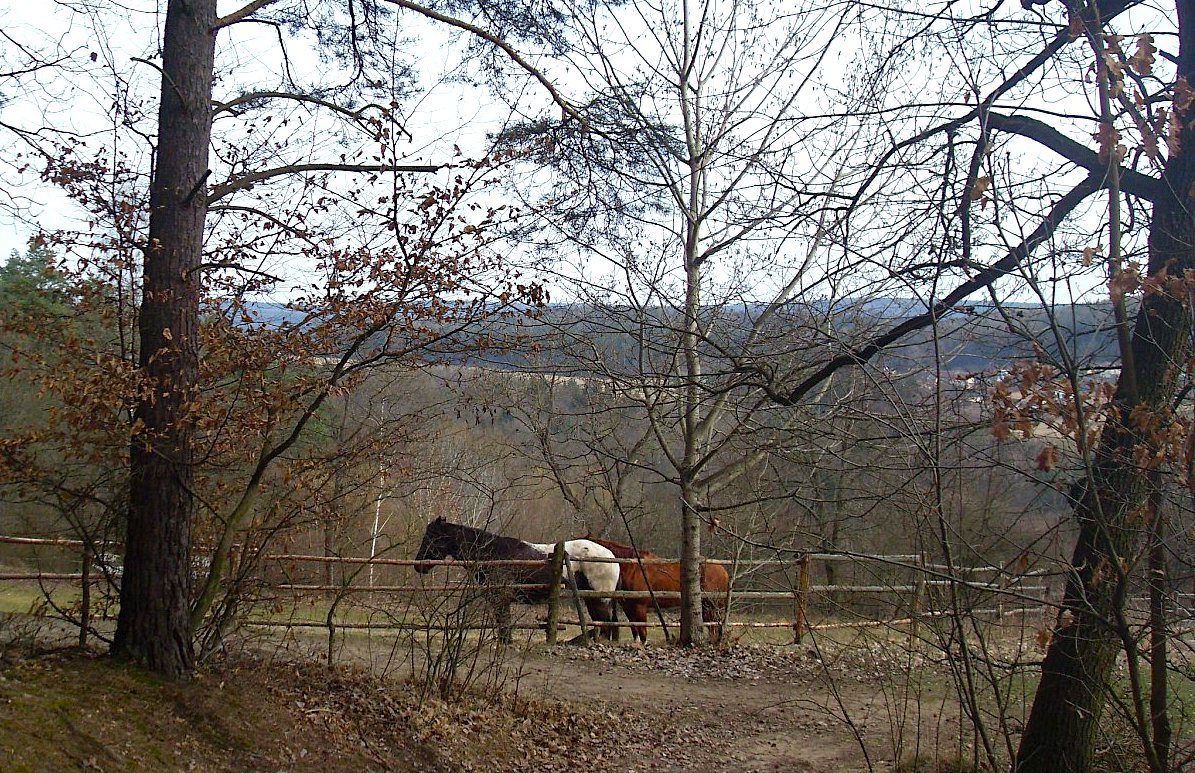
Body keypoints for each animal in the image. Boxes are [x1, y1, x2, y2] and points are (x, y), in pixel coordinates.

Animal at [413, 520, 616, 640]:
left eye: (432, 536)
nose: (418, 565)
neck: (493, 553)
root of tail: (611, 556)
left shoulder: (501, 598)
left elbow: (504, 622)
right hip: (592, 599)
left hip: (599, 599)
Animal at [585, 535, 726, 645]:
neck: (632, 567)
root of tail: (723, 571)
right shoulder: (628, 607)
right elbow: (635, 630)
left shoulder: (640, 607)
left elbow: (643, 633)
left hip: (711, 607)